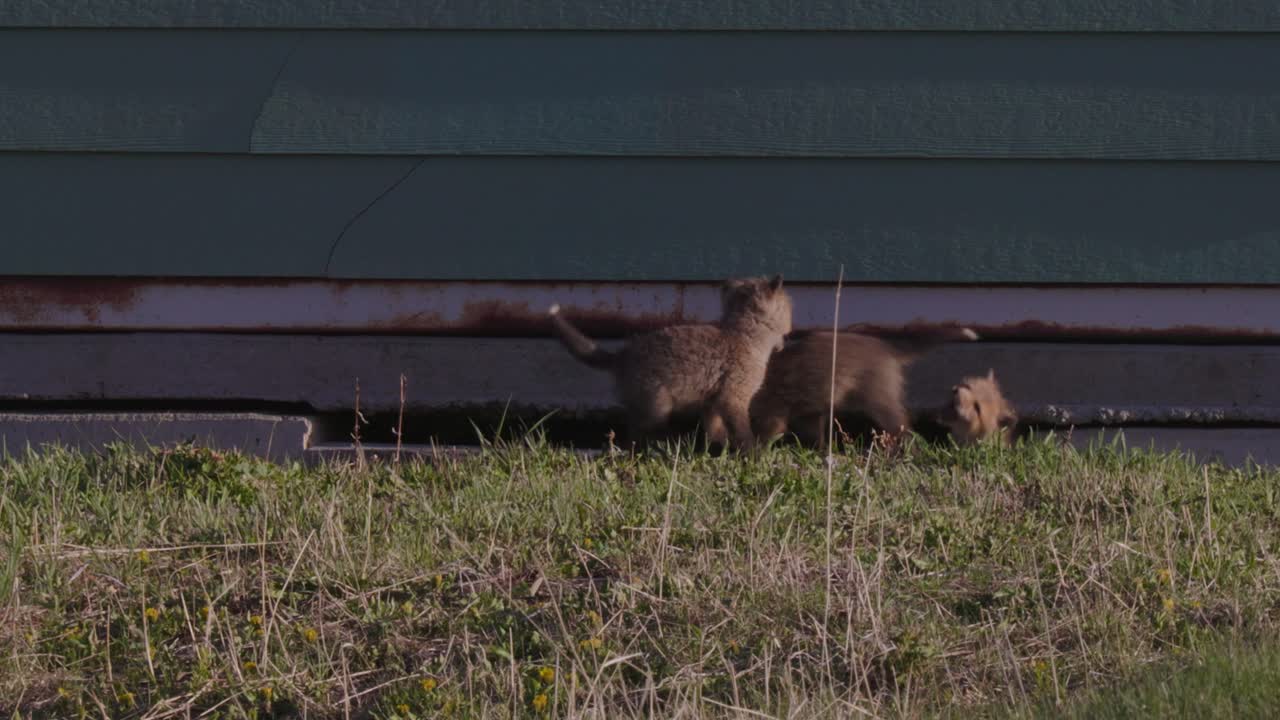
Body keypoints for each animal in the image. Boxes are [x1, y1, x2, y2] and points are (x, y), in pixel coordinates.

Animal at [548, 275, 793, 451]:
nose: (790, 332)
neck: (745, 336)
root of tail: (624, 353)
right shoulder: (733, 397)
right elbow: (743, 432)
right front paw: (753, 453)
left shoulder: (713, 401)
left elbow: (714, 429)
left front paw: (718, 448)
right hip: (657, 407)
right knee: (637, 436)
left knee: (632, 434)